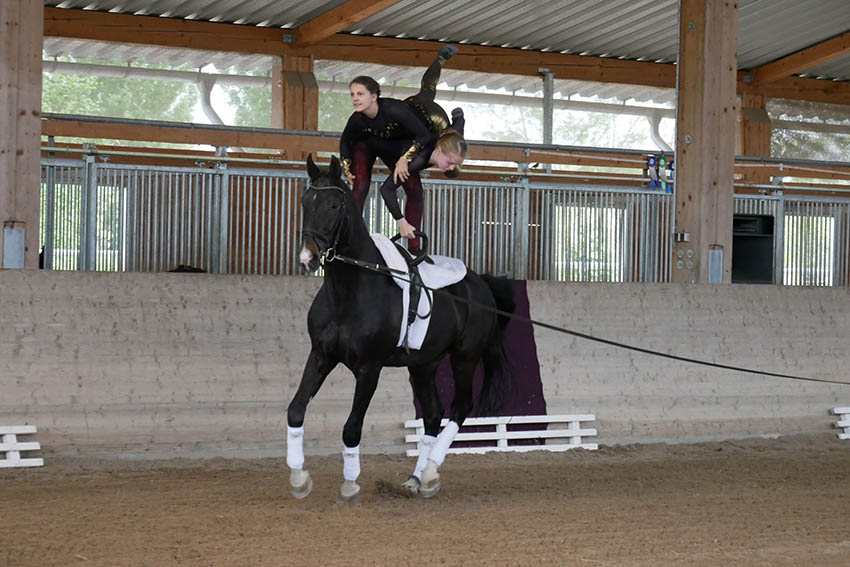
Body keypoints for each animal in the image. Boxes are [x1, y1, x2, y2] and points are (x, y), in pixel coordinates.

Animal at [284, 155, 512, 502]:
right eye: (305, 201)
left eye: (334, 205)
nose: (307, 256)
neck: (350, 289)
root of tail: (480, 284)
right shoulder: (321, 356)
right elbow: (296, 410)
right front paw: (299, 480)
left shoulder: (369, 369)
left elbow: (351, 428)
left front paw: (350, 485)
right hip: (423, 365)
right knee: (433, 415)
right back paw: (417, 479)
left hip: (464, 357)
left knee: (460, 407)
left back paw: (430, 473)